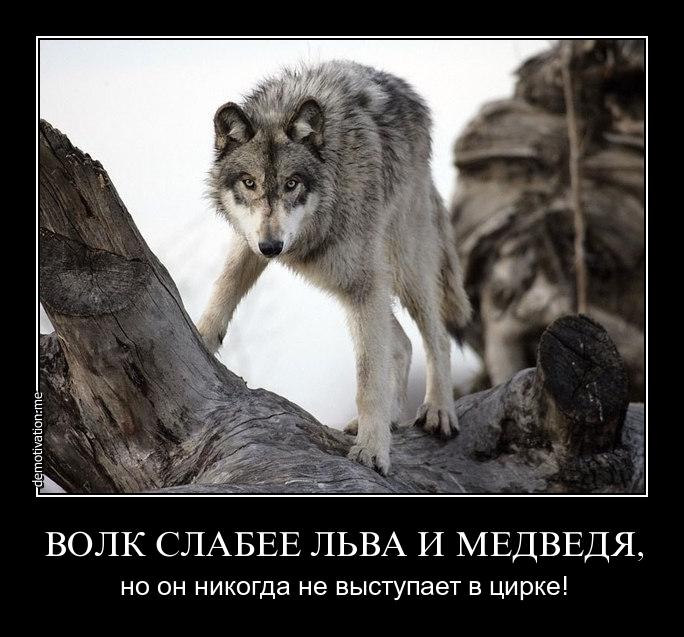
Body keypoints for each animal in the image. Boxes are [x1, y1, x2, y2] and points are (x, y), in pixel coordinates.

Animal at [197, 60, 471, 475]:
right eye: (249, 183)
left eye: (292, 183)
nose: (273, 248)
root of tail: (408, 92)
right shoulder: (251, 241)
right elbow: (224, 286)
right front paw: (201, 336)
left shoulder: (365, 286)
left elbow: (367, 379)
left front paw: (373, 451)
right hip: (344, 280)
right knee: (402, 344)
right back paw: (391, 418)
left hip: (395, 269)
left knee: (435, 336)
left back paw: (438, 411)